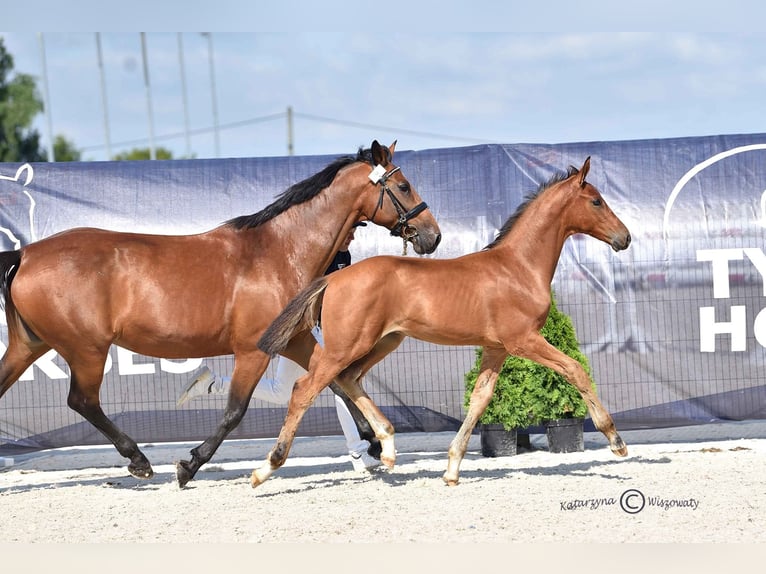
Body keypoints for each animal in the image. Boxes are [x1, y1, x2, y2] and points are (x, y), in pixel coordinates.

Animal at [0, 140, 442, 486]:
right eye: (403, 185)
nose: (432, 236)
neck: (277, 252)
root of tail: (26, 253)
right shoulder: (254, 350)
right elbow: (235, 411)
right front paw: (189, 465)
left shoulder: (293, 339)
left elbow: (335, 380)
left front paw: (373, 440)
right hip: (87, 349)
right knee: (82, 401)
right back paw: (139, 461)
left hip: (29, 345)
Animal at [253, 157, 631, 488]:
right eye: (596, 201)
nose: (624, 238)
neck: (518, 267)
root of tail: (333, 278)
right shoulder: (523, 339)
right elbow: (575, 369)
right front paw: (615, 440)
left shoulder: (496, 348)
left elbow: (480, 398)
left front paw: (451, 469)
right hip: (346, 346)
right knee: (305, 389)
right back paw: (265, 468)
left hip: (382, 341)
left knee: (348, 379)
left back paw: (388, 448)